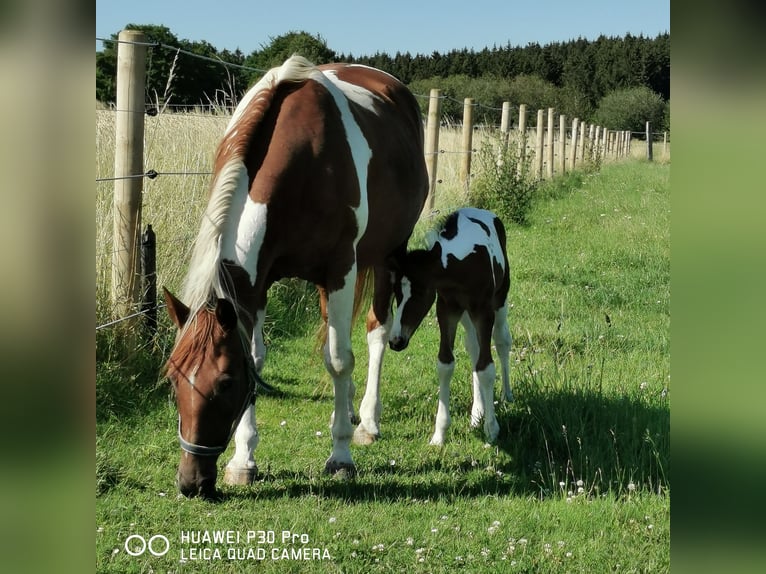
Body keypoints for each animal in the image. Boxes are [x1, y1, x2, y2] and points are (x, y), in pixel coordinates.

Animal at [163, 57, 428, 500]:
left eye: (225, 384)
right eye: (173, 378)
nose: (191, 483)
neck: (305, 160)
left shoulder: (340, 268)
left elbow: (338, 360)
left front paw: (340, 457)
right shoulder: (256, 285)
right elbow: (258, 359)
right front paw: (243, 460)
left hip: (388, 254)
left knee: (375, 332)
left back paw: (367, 421)